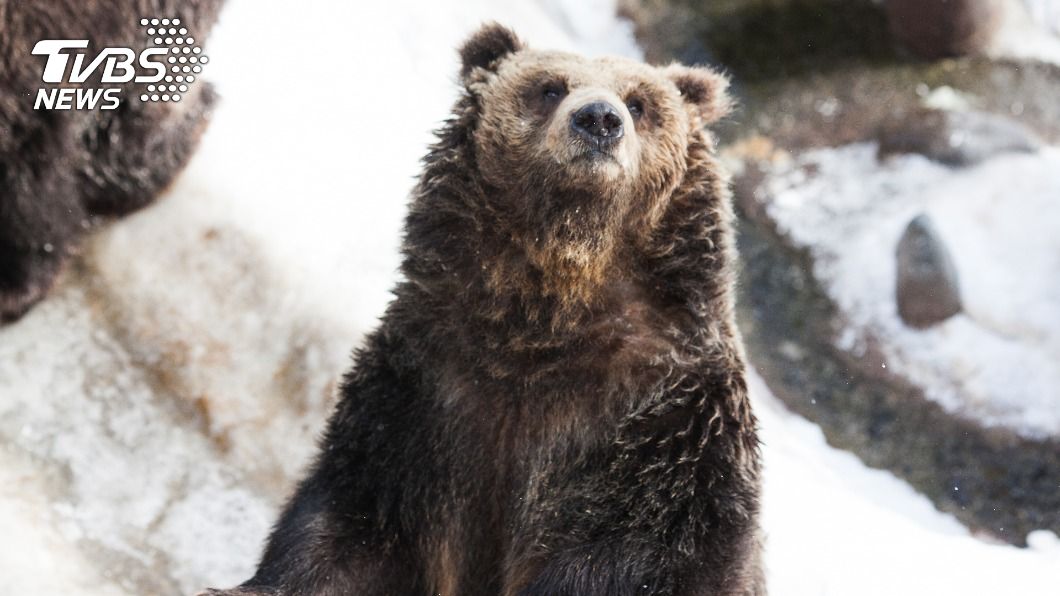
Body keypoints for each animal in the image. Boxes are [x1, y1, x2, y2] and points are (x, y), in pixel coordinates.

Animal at [203, 23, 764, 596]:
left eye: (639, 102)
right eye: (550, 87)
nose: (599, 119)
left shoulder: (667, 424)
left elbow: (640, 544)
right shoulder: (429, 390)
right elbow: (359, 514)